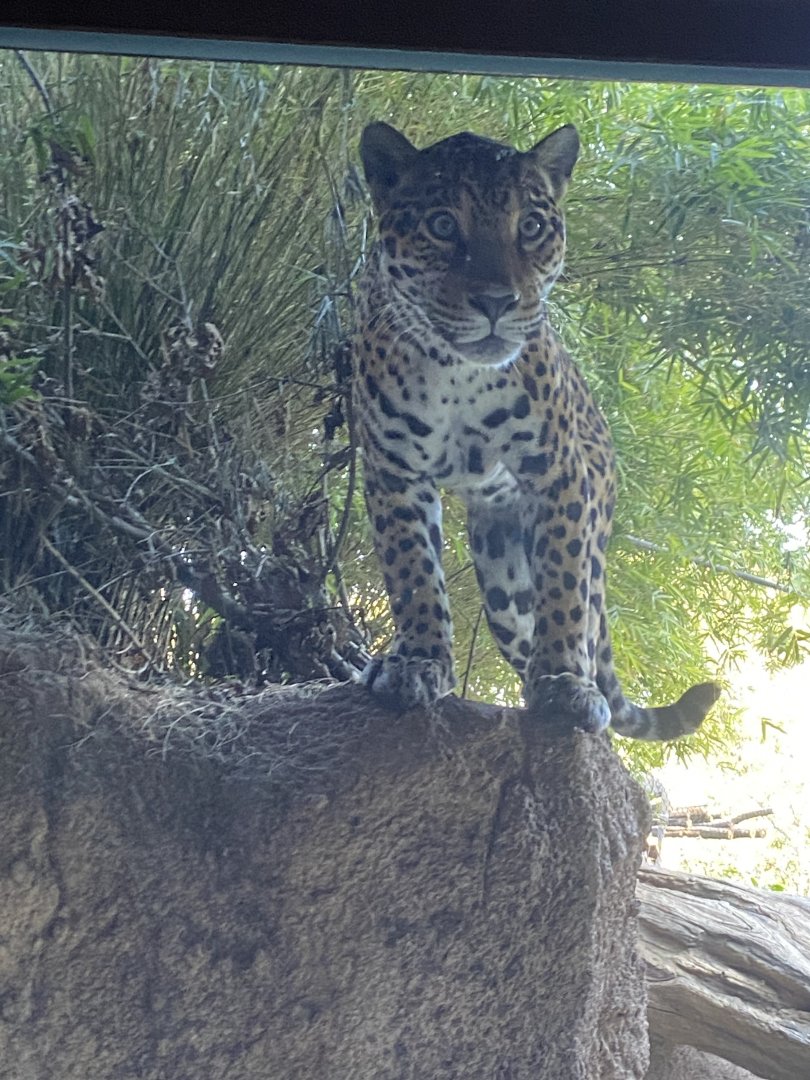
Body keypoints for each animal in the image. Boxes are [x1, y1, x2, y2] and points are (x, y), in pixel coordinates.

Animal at [352, 120, 720, 740]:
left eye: (532, 226)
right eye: (442, 224)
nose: (497, 302)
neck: (459, 373)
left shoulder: (560, 475)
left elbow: (564, 589)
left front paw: (566, 685)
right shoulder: (392, 471)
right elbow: (412, 571)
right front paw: (418, 662)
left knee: (583, 613)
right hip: (502, 581)